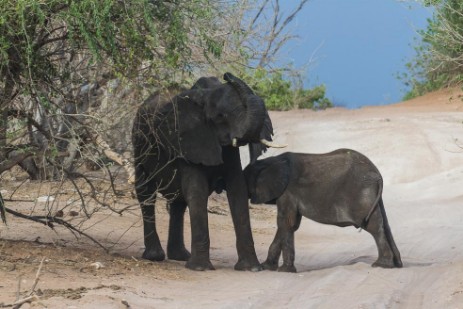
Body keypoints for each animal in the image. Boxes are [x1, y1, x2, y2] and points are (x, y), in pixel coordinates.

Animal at [132, 72, 278, 270]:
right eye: (220, 116)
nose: (227, 75)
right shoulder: (188, 140)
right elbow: (197, 190)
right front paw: (200, 268)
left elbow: (237, 191)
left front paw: (251, 269)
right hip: (139, 144)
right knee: (146, 192)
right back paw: (155, 256)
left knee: (178, 202)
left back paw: (180, 256)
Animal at [245, 149, 404, 272]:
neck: (271, 160)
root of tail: (378, 174)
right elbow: (290, 225)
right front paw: (267, 267)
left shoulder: (287, 193)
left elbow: (286, 224)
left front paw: (284, 271)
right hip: (374, 198)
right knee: (385, 224)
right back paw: (396, 264)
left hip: (362, 195)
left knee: (374, 227)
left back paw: (381, 265)